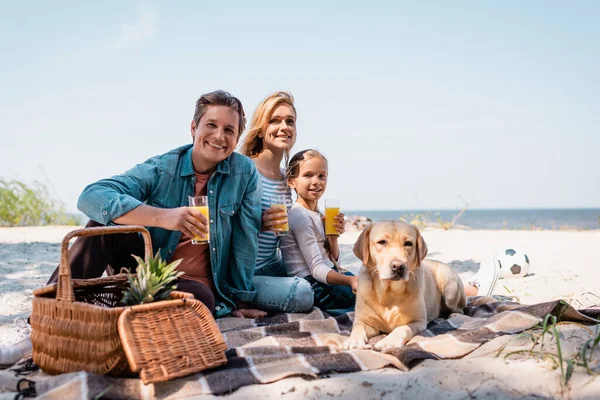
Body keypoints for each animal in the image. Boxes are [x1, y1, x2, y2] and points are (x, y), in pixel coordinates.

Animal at [342, 220, 464, 352]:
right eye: (382, 242)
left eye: (408, 243)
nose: (398, 266)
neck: (388, 293)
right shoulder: (364, 321)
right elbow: (357, 327)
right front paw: (353, 340)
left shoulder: (418, 321)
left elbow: (402, 329)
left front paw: (389, 341)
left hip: (449, 288)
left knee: (460, 309)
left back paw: (454, 315)